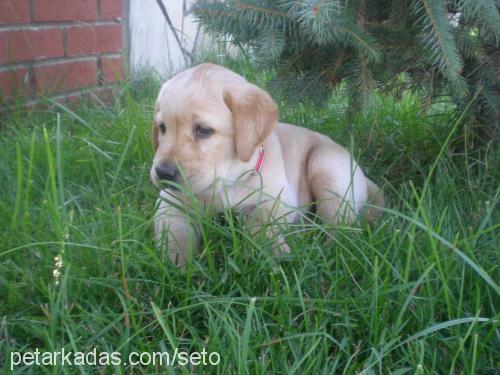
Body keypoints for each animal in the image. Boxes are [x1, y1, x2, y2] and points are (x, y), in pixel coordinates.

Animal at [148, 63, 382, 266]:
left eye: (204, 130)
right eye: (162, 127)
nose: (163, 172)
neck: (227, 182)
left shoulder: (282, 199)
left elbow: (259, 222)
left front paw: (268, 253)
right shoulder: (170, 202)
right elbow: (174, 234)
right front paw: (178, 266)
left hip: (326, 165)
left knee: (341, 230)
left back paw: (325, 253)